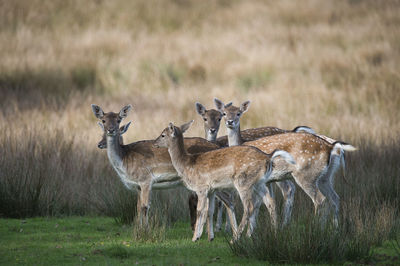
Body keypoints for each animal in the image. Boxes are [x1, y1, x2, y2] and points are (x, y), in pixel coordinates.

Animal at [90, 104, 238, 241]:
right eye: (103, 120)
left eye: (118, 119)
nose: (110, 130)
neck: (124, 160)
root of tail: (217, 146)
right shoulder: (138, 186)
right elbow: (137, 207)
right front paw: (137, 230)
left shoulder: (145, 179)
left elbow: (145, 206)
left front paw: (145, 233)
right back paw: (213, 235)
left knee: (228, 199)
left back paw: (231, 235)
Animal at [153, 120, 296, 241]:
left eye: (163, 135)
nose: (154, 143)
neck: (187, 165)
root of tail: (268, 157)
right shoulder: (211, 190)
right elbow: (210, 210)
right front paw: (210, 237)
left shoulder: (201, 187)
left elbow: (200, 210)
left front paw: (195, 237)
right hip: (259, 183)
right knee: (269, 201)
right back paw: (272, 232)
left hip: (243, 182)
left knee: (249, 207)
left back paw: (236, 238)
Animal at [216, 98, 356, 225]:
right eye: (224, 113)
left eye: (238, 113)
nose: (230, 122)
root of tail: (331, 147)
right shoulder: (267, 181)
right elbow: (266, 203)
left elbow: (265, 203)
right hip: (325, 176)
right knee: (335, 198)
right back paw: (334, 228)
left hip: (306, 174)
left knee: (319, 199)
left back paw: (315, 227)